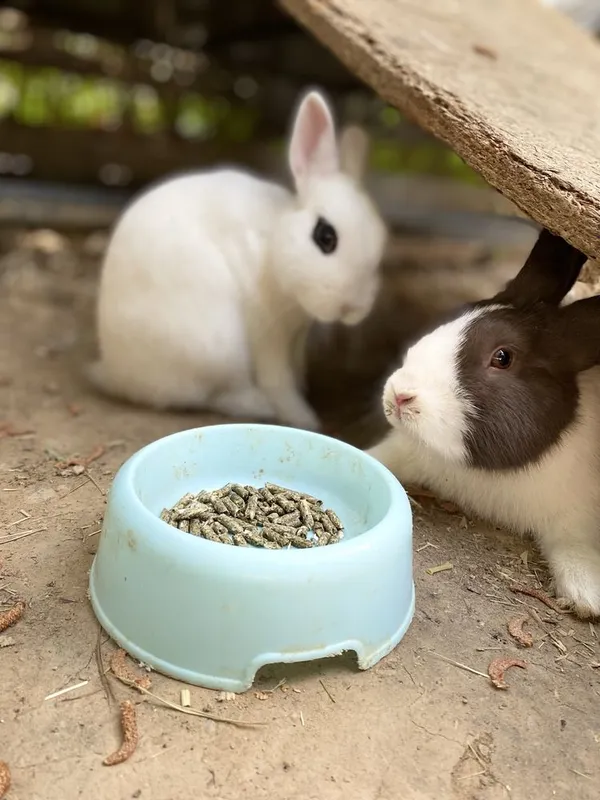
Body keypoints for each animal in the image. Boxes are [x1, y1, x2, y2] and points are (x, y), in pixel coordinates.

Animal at [87, 89, 387, 431]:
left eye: (381, 242)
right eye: (325, 236)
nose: (353, 308)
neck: (273, 248)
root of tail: (114, 371)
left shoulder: (296, 336)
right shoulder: (268, 333)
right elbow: (277, 380)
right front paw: (303, 418)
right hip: (217, 346)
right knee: (210, 395)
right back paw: (258, 404)